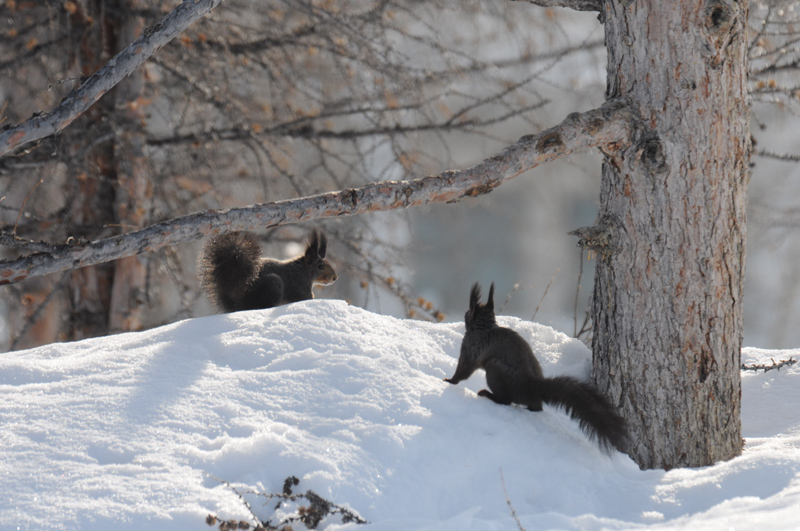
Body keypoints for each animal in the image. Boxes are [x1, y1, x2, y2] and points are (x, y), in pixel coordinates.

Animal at [202, 231, 340, 314]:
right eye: (320, 266)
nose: (335, 277)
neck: (303, 271)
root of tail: (237, 305)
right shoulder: (299, 287)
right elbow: (305, 298)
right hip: (272, 284)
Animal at [446, 282, 628, 454]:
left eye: (468, 312)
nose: (465, 315)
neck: (484, 328)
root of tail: (532, 387)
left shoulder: (470, 350)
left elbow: (463, 370)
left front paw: (449, 380)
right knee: (536, 407)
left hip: (495, 370)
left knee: (506, 400)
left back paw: (487, 394)